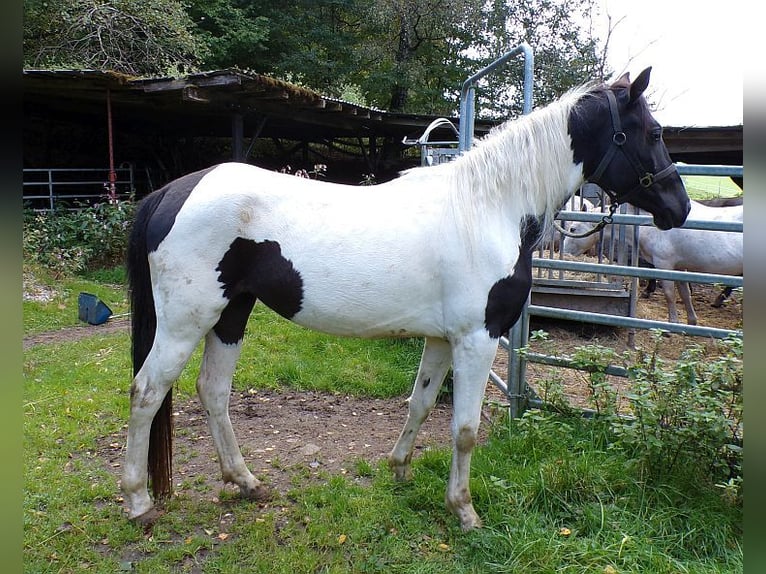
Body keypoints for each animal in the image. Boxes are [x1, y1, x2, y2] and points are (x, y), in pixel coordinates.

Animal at [121, 67, 690, 531]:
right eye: (655, 133)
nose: (679, 208)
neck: (489, 207)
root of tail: (172, 193)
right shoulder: (478, 339)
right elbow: (465, 428)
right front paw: (464, 510)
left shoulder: (442, 339)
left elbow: (420, 402)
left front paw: (400, 469)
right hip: (186, 321)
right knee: (147, 392)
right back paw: (138, 502)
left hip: (231, 313)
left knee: (213, 392)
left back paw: (244, 481)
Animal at [562, 200, 741, 325]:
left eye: (572, 228)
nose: (563, 252)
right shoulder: (679, 267)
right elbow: (685, 294)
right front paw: (691, 322)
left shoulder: (664, 264)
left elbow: (669, 294)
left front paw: (672, 323)